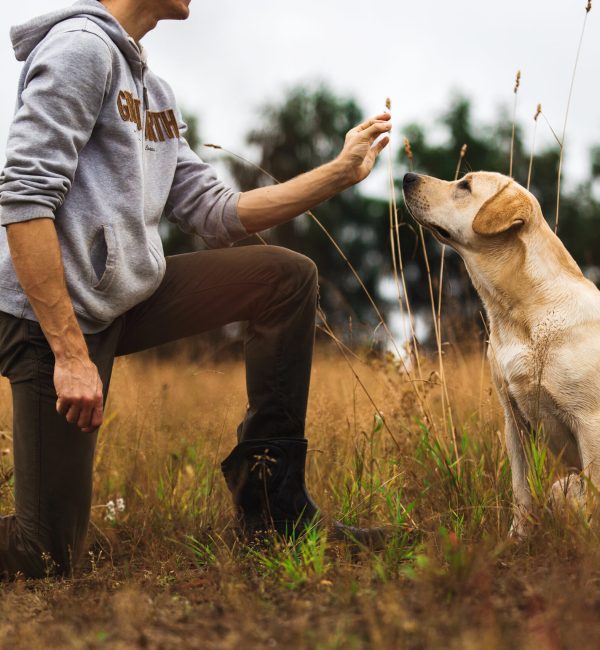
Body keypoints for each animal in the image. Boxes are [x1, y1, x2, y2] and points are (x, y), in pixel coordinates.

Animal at [400, 170, 600, 536]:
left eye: (464, 186)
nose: (407, 177)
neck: (519, 314)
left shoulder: (589, 421)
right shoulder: (514, 421)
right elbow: (521, 490)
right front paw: (517, 539)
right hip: (561, 485)